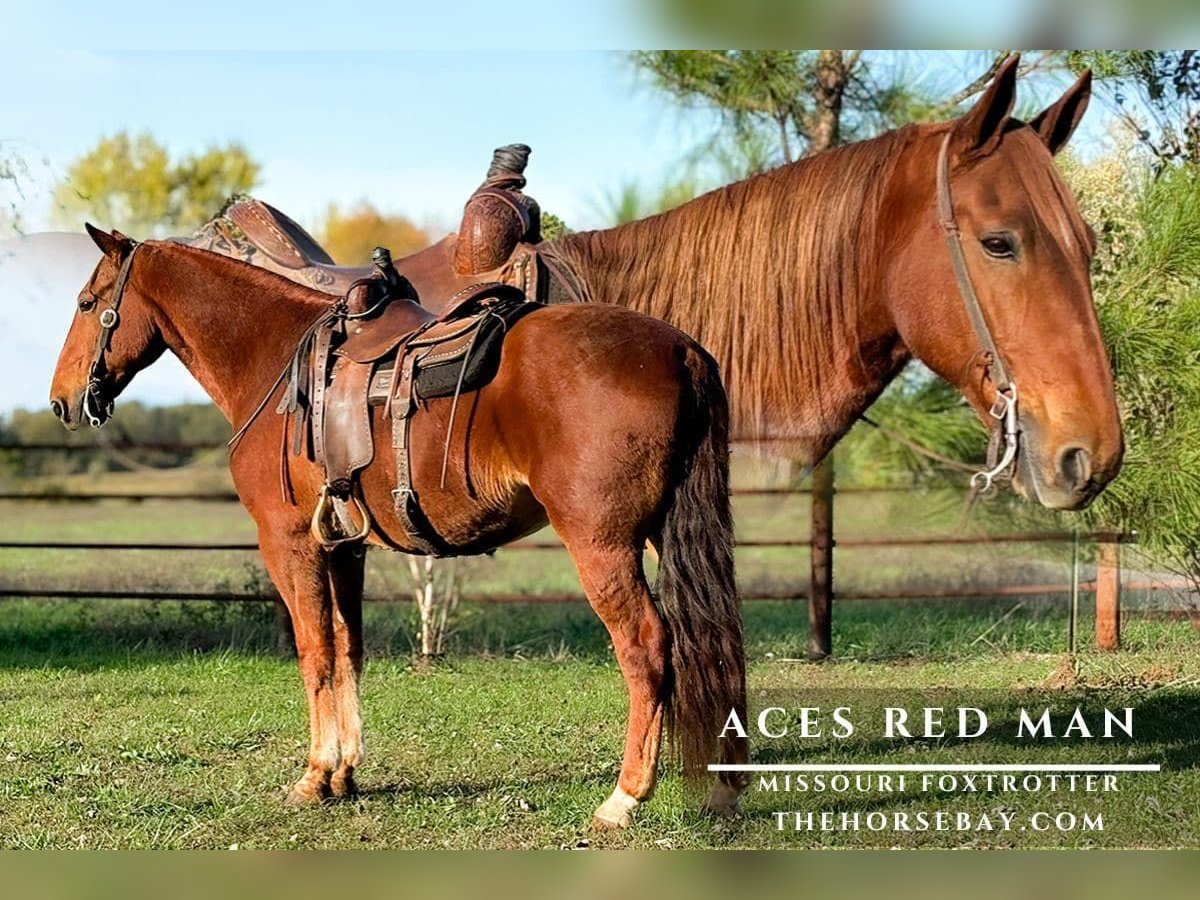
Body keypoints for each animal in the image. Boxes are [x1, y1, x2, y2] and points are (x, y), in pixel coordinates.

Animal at [48, 233, 748, 829]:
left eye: (87, 304)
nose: (61, 401)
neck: (273, 363)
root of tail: (680, 348)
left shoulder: (290, 544)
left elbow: (314, 654)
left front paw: (314, 776)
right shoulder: (344, 547)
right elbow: (347, 648)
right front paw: (345, 774)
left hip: (603, 546)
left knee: (647, 647)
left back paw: (624, 799)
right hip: (664, 534)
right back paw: (723, 787)